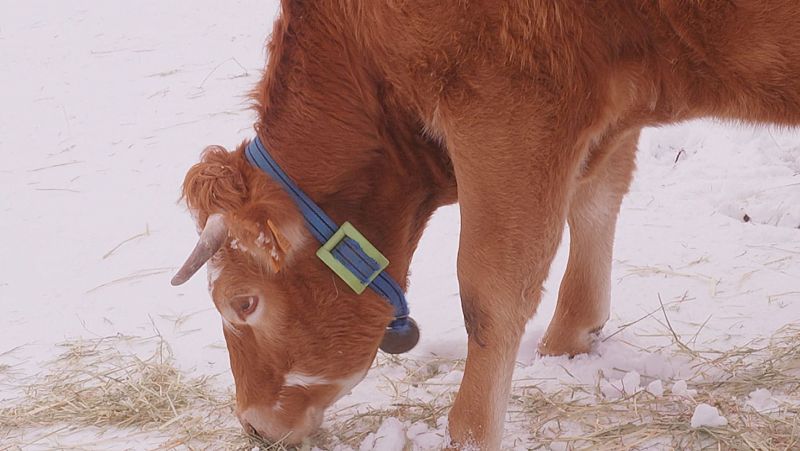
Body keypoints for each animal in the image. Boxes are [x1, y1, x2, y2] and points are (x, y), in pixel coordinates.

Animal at [172, 1, 800, 450]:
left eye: (243, 303)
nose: (253, 425)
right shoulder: (603, 107)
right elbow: (595, 200)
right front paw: (568, 343)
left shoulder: (508, 107)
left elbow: (491, 289)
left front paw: (470, 433)